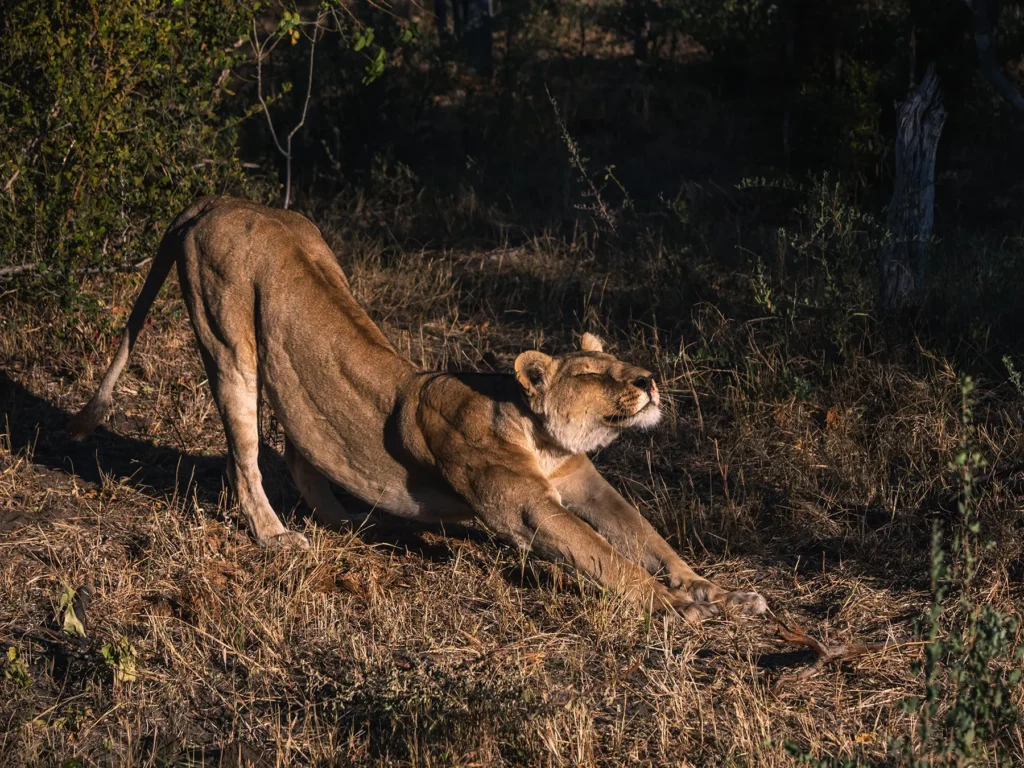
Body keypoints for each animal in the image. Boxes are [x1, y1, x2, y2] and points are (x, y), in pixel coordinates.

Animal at [69, 196, 767, 621]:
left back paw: (351, 522)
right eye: (596, 372)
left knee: (302, 446)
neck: (542, 436)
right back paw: (276, 535)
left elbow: (645, 536)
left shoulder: (584, 483)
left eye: (622, 363)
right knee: (246, 458)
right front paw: (677, 608)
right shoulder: (524, 508)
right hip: (228, 342)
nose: (650, 381)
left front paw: (716, 590)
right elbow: (607, 558)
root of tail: (220, 200)